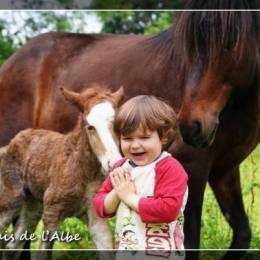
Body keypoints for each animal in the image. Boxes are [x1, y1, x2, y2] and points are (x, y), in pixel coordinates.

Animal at [0, 85, 123, 258]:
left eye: (118, 125)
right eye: (90, 127)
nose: (114, 163)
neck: (83, 172)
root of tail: (11, 143)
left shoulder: (96, 217)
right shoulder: (52, 213)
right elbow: (43, 254)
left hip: (33, 204)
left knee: (12, 245)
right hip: (11, 198)